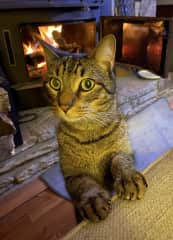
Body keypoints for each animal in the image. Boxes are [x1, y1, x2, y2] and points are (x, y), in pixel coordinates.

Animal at [42, 35, 147, 221]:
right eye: (55, 83)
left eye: (87, 85)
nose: (64, 105)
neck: (89, 132)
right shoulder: (72, 174)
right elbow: (85, 183)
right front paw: (93, 199)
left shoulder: (123, 150)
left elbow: (120, 160)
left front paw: (128, 177)